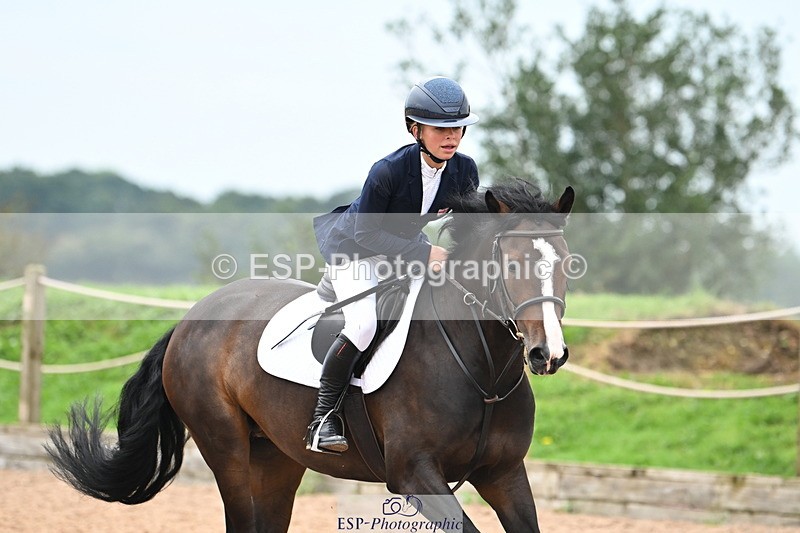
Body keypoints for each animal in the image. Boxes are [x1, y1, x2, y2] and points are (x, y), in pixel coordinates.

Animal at [46, 181, 575, 532]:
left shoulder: (504, 474)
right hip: (227, 449)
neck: (483, 372)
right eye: (512, 265)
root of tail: (190, 319)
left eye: (567, 263)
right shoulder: (414, 474)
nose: (548, 353)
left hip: (276, 457)